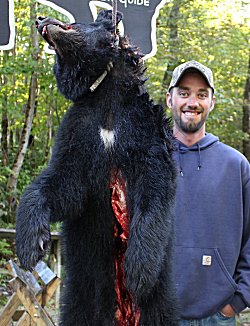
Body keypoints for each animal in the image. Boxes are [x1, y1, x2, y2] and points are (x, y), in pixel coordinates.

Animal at [15, 8, 178, 324]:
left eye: (75, 21)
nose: (39, 19)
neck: (107, 98)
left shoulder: (145, 132)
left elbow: (154, 188)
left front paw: (138, 271)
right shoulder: (79, 131)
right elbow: (65, 184)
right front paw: (31, 246)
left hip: (159, 298)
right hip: (81, 289)